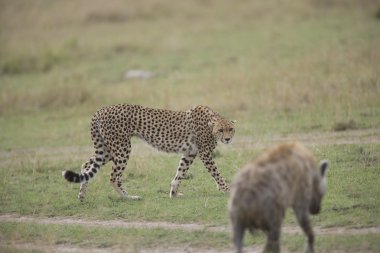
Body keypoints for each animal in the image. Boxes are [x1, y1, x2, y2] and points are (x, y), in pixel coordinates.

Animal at [62, 104, 235, 201]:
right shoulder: (204, 154)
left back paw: (81, 196)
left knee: (87, 165)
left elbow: (180, 173)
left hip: (108, 150)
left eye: (231, 129)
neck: (211, 124)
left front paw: (173, 193)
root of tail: (100, 110)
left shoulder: (189, 154)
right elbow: (217, 174)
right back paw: (129, 197)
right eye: (221, 130)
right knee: (113, 177)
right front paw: (227, 190)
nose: (227, 139)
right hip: (122, 148)